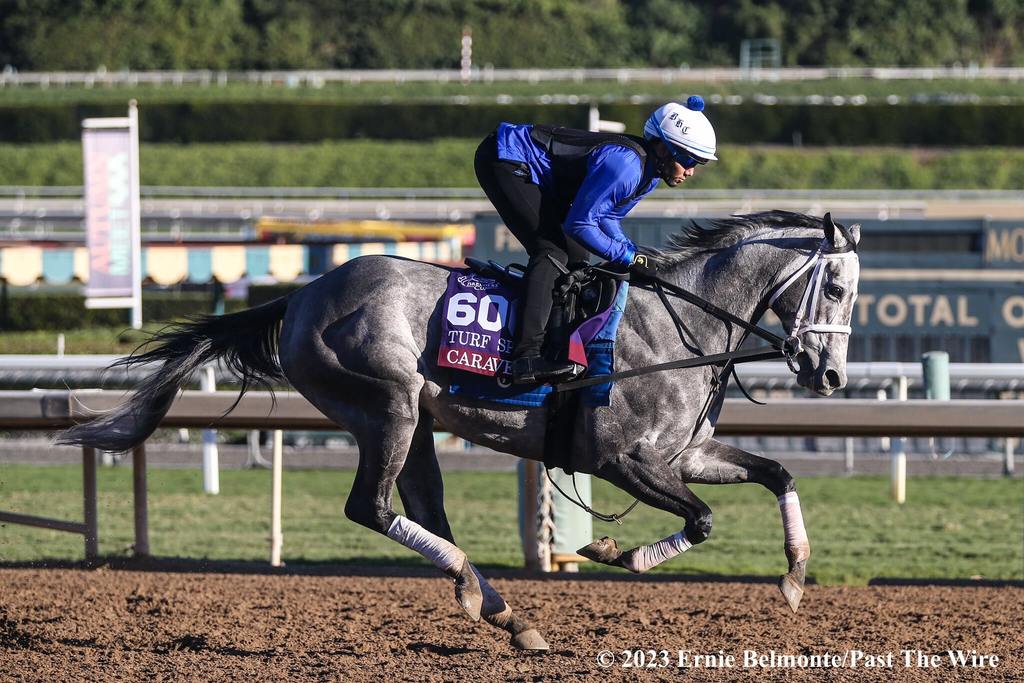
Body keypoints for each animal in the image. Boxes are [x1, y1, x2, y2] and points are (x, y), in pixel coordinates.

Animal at [61, 209, 864, 651]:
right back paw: (477, 593)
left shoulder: (685, 453)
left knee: (422, 507)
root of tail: (300, 296)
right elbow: (700, 521)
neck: (679, 323)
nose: (829, 377)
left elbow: (778, 473)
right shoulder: (622, 458)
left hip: (415, 422)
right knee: (372, 506)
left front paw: (795, 577)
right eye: (835, 285)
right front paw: (617, 550)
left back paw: (505, 612)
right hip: (387, 404)